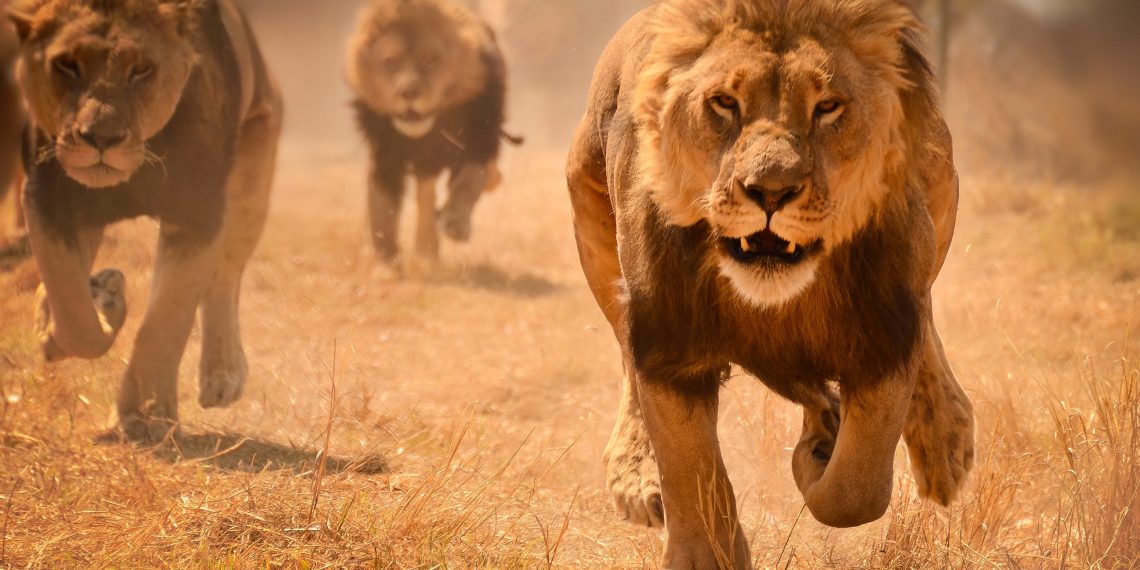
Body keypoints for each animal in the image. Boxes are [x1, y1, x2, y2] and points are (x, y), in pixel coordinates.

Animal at [9, 0, 282, 442]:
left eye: (141, 70)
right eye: (67, 65)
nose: (101, 139)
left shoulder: (197, 215)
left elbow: (165, 321)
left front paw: (145, 418)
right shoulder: (47, 200)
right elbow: (73, 312)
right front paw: (99, 305)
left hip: (253, 170)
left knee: (225, 280)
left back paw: (222, 374)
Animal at [347, 0, 518, 271]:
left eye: (430, 61)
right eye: (390, 61)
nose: (408, 92)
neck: (429, 132)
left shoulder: (478, 141)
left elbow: (469, 181)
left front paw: (456, 222)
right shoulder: (385, 156)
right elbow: (383, 208)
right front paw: (386, 264)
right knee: (425, 196)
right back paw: (426, 249)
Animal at [566, 1, 975, 567]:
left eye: (827, 107)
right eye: (724, 103)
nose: (771, 191)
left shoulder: (886, 330)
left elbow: (856, 489)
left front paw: (818, 455)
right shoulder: (667, 343)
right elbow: (690, 472)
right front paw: (705, 546)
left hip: (938, 196)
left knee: (927, 314)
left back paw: (940, 442)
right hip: (591, 219)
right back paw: (639, 478)